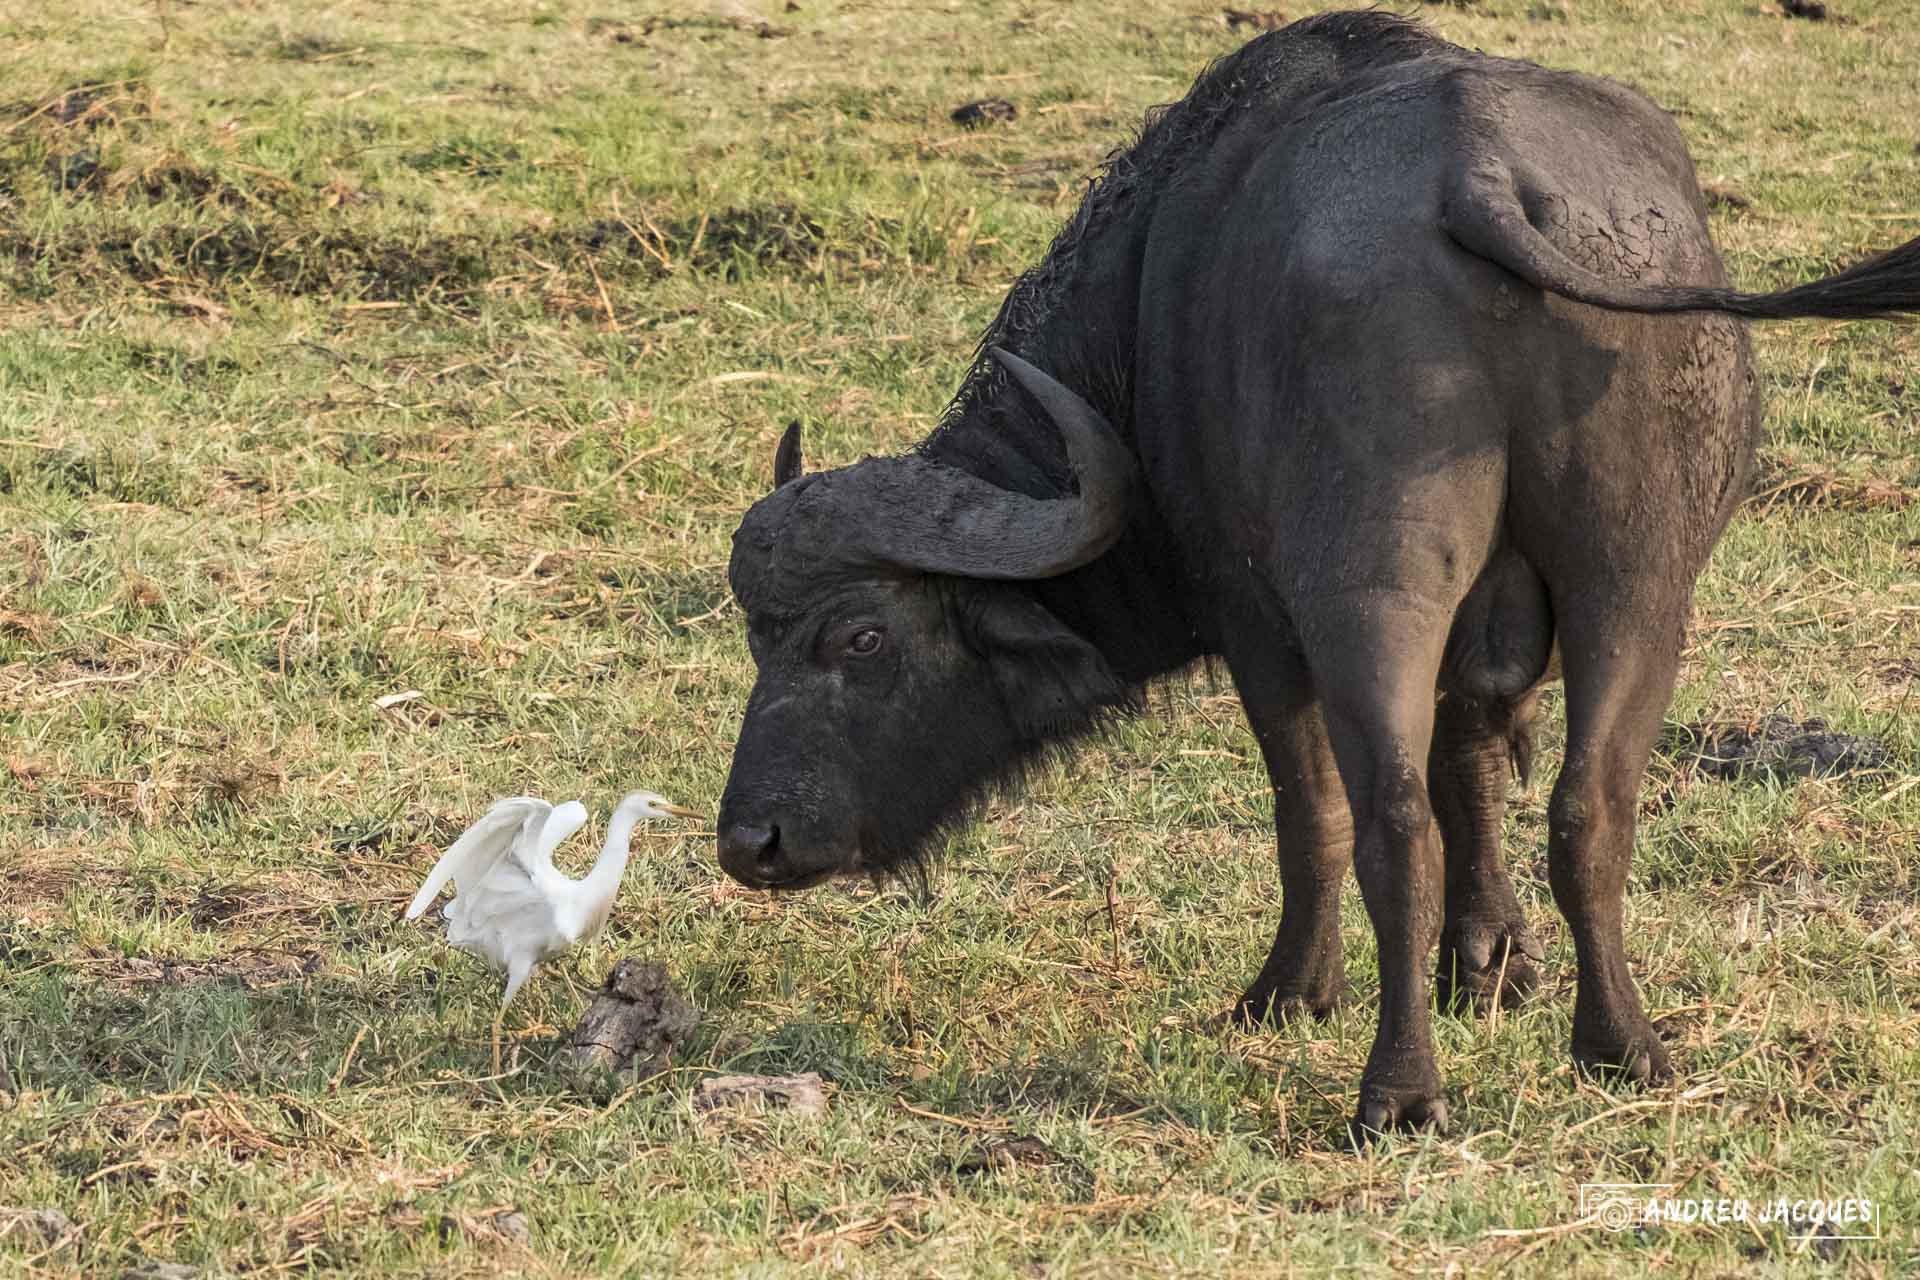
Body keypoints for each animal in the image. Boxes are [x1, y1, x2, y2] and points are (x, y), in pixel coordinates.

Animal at [710, 7, 1920, 1128]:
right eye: (758, 638)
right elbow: (1475, 762)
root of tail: (1482, 177)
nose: (748, 842)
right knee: (1591, 806)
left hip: (1365, 600)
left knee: (1386, 819)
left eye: (861, 635)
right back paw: (1621, 1044)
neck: (1153, 298)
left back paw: (1398, 1089)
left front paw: (1293, 993)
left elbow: (1317, 813)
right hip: (1636, 585)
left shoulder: (1255, 624)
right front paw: (1491, 964)